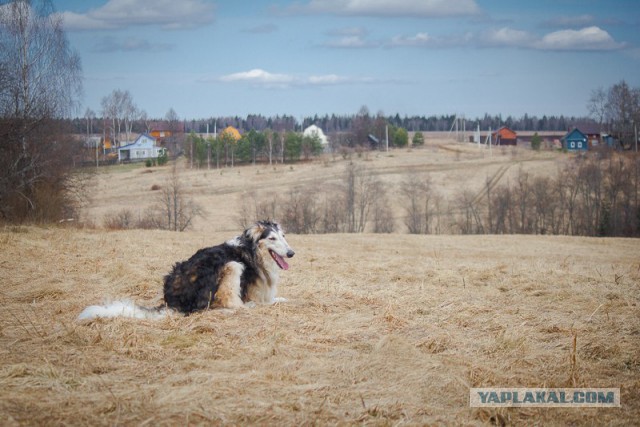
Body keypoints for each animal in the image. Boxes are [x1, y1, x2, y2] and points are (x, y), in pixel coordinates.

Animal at [77, 222, 296, 320]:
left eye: (283, 236)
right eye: (272, 238)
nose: (291, 253)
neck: (252, 250)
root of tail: (172, 301)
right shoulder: (256, 292)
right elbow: (270, 301)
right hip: (232, 266)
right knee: (223, 304)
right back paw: (247, 307)